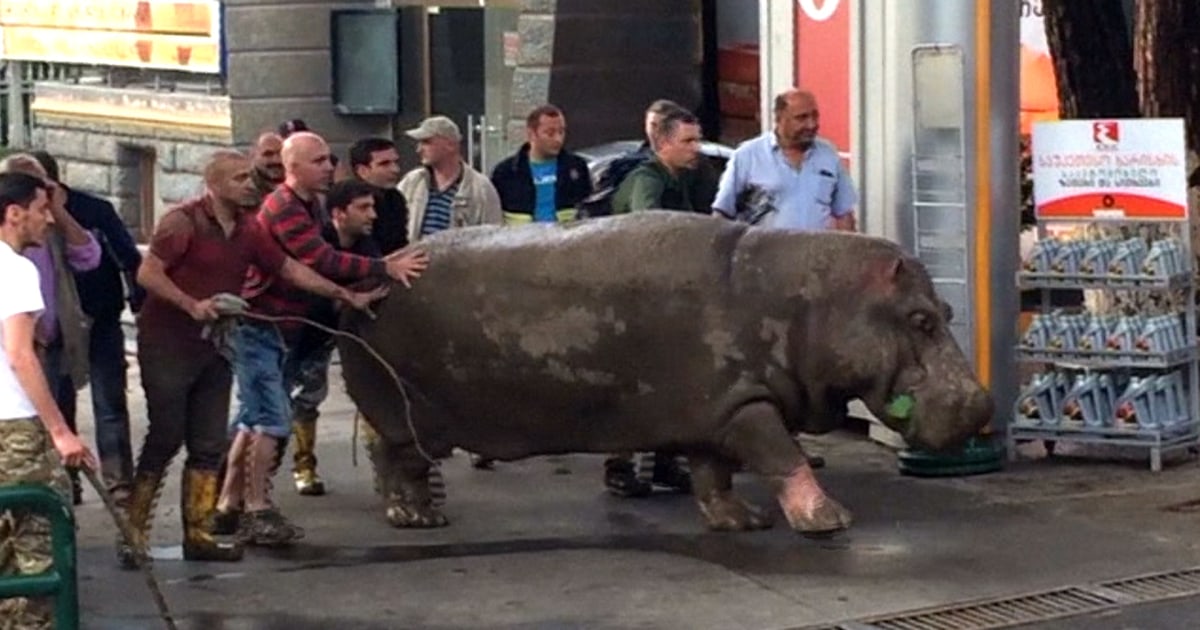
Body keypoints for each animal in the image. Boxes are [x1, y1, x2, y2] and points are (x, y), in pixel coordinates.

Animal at [338, 211, 993, 535]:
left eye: (947, 310)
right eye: (920, 319)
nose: (981, 403)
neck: (814, 298)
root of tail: (374, 273)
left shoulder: (718, 409)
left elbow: (714, 474)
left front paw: (742, 522)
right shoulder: (749, 408)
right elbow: (784, 456)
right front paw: (830, 522)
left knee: (395, 457)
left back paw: (421, 512)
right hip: (403, 413)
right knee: (392, 457)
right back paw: (415, 518)